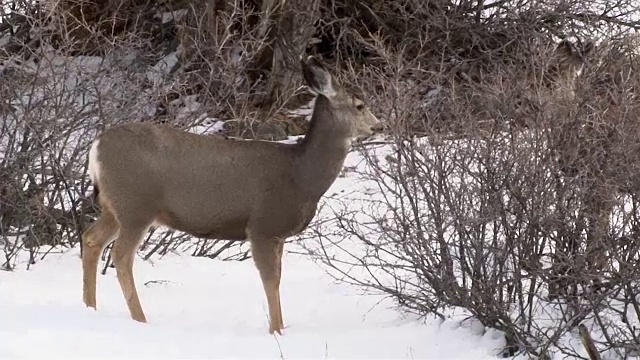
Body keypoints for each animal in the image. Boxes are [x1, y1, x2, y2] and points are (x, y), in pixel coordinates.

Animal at [80, 56, 380, 334]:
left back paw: (89, 307)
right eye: (359, 105)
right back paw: (140, 318)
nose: (377, 126)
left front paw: (281, 327)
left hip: (114, 207)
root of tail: (96, 147)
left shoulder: (278, 234)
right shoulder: (263, 225)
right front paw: (276, 330)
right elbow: (270, 280)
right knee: (121, 256)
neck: (301, 176)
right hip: (135, 205)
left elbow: (277, 277)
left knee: (91, 238)